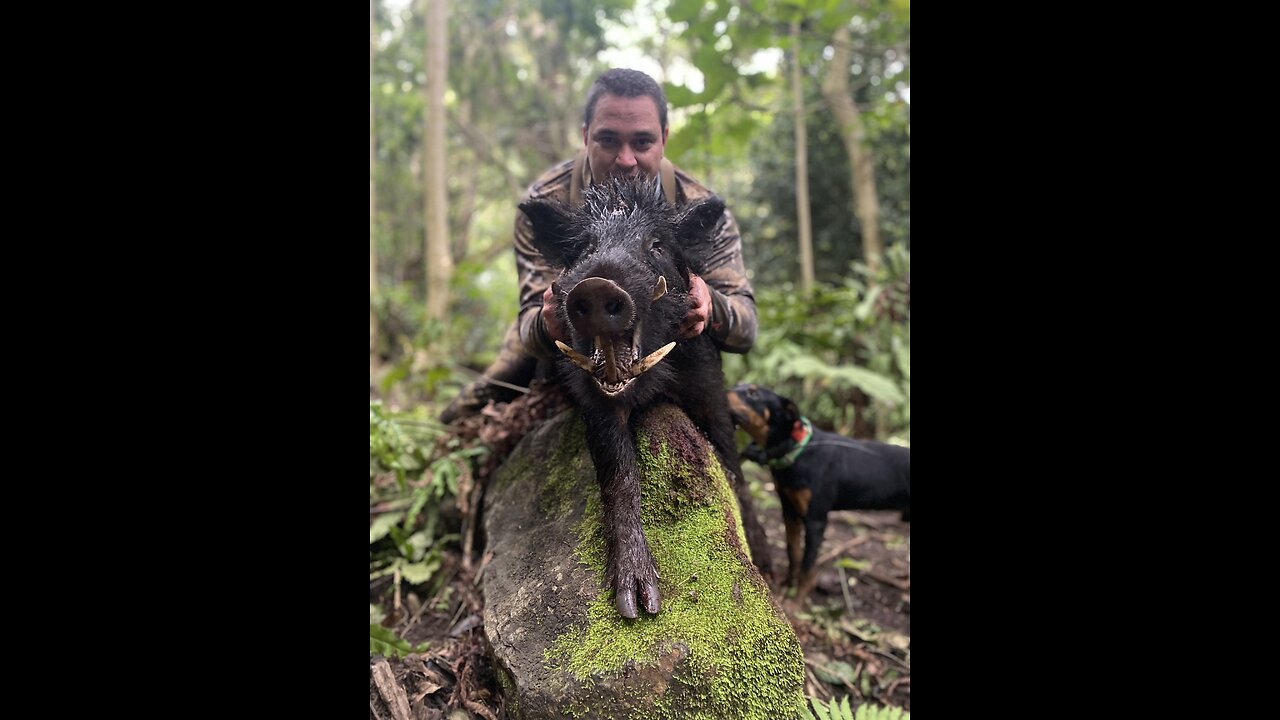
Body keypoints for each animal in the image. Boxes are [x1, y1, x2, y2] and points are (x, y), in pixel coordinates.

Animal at [732, 384, 911, 597]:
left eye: (753, 393)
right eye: (738, 386)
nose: (723, 391)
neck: (798, 450)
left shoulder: (816, 520)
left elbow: (807, 567)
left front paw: (796, 601)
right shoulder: (789, 510)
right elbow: (793, 553)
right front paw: (787, 585)